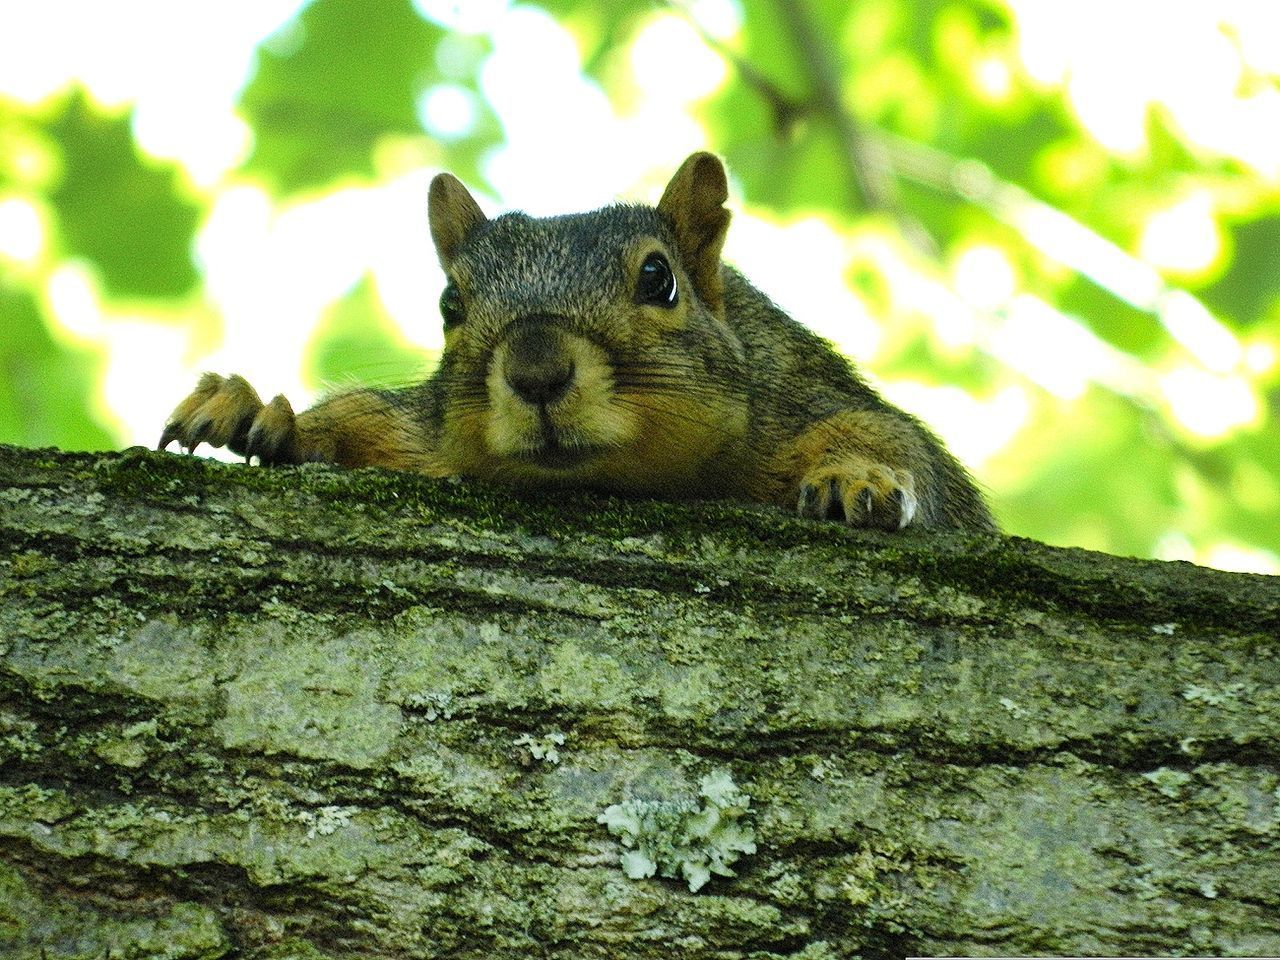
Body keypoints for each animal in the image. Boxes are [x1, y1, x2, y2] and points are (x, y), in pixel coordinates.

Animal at [160, 154, 993, 537]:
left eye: (660, 278)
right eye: (450, 303)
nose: (536, 372)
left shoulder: (799, 398)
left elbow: (893, 441)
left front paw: (859, 476)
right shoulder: (424, 438)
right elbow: (363, 420)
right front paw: (257, 414)